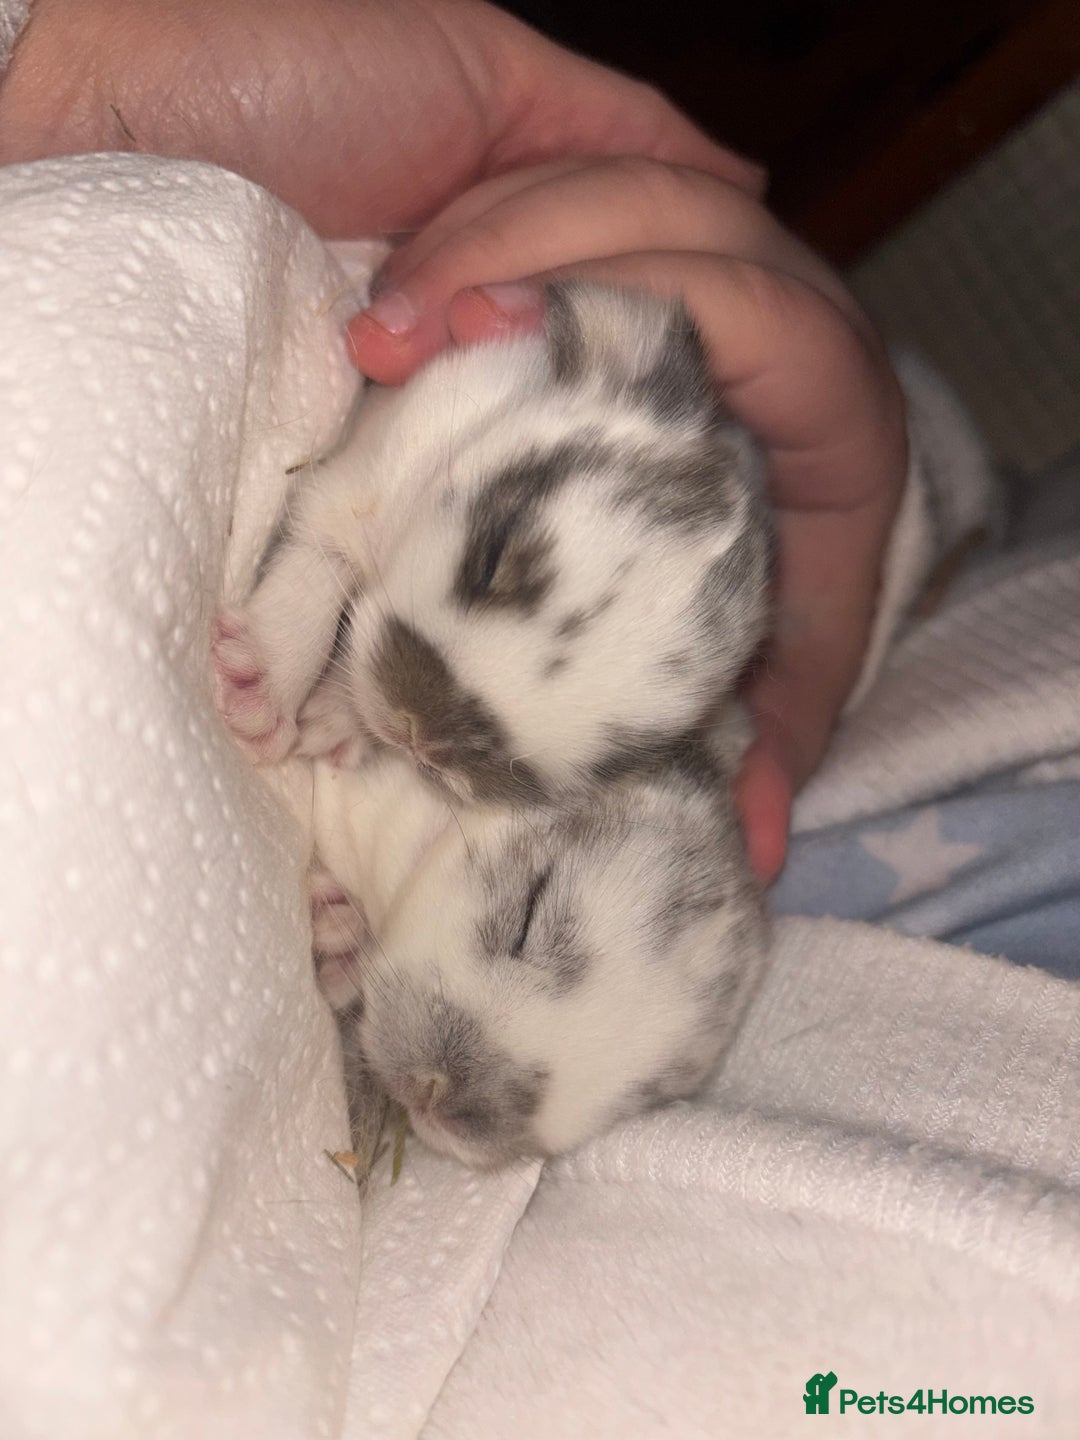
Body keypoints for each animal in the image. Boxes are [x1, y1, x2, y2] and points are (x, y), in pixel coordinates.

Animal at [212, 280, 771, 806]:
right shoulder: (353, 491)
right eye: (491, 557)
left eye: (627, 757)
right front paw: (257, 696)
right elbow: (315, 577)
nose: (418, 735)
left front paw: (332, 723)